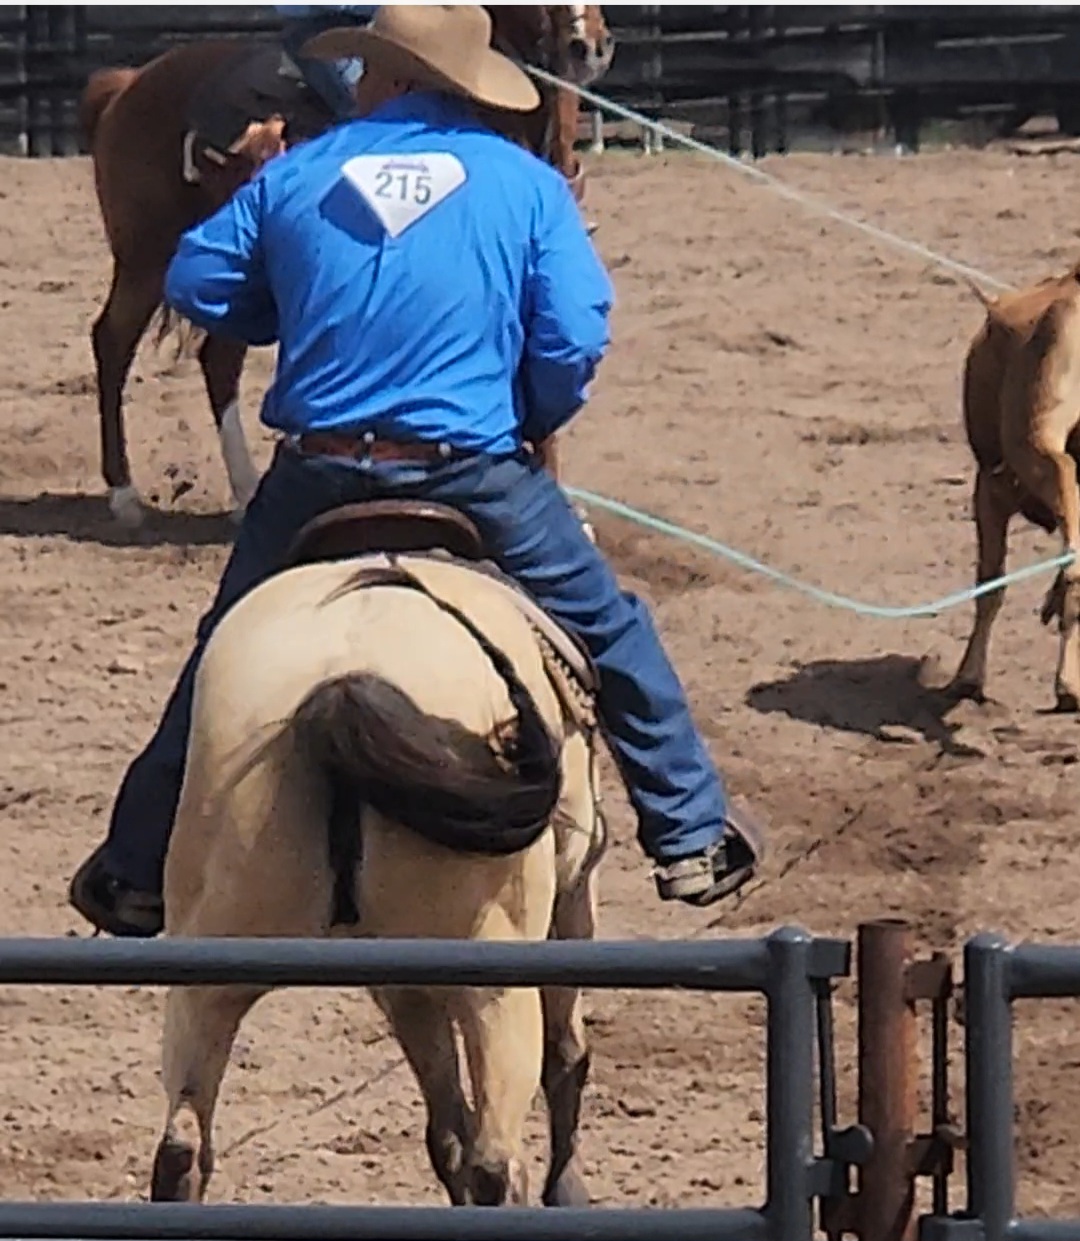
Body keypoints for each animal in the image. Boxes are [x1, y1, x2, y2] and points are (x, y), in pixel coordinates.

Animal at [79, 4, 613, 528]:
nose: (588, 46)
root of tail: (129, 82)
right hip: (146, 258)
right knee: (114, 341)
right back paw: (125, 495)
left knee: (217, 359)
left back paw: (245, 491)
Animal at [147, 501, 608, 1201]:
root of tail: (340, 688)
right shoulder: (572, 898)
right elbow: (565, 1057)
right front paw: (569, 1186)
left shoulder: (401, 977)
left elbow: (446, 1126)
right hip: (497, 992)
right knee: (497, 1157)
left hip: (207, 979)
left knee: (180, 1148)